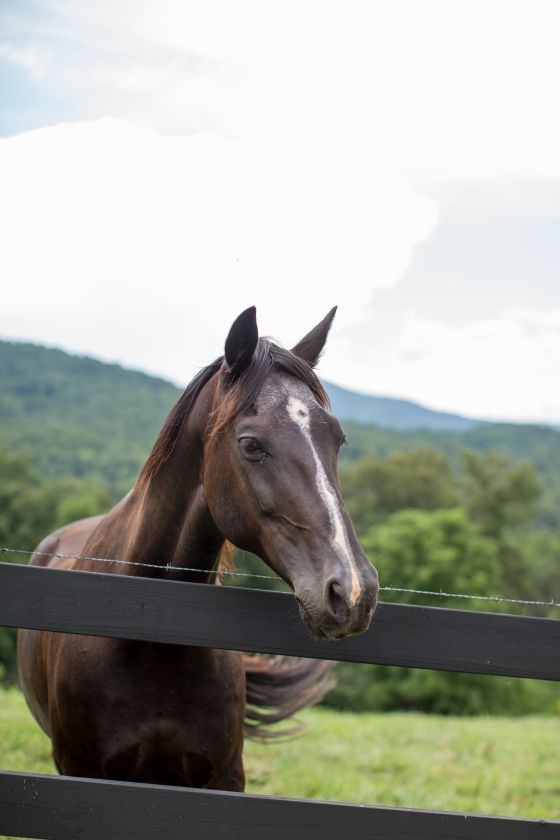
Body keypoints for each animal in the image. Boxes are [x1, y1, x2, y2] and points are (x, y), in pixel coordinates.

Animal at [18, 306, 380, 792]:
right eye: (250, 444)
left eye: (338, 439)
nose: (353, 591)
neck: (154, 631)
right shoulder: (82, 771)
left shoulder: (223, 780)